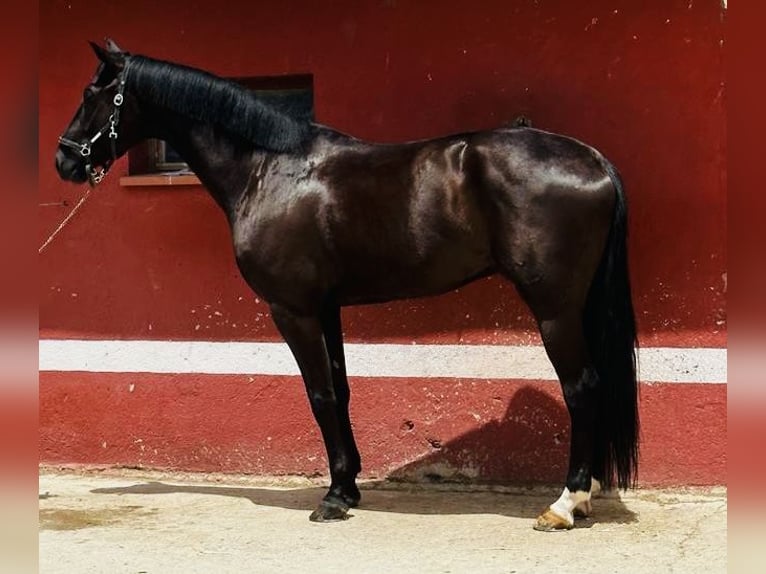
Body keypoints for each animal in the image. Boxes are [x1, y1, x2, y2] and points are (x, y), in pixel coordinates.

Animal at [55, 39, 640, 536]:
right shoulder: (327, 307)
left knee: (582, 386)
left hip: (555, 308)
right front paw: (349, 484)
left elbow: (319, 394)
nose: (65, 159)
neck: (269, 168)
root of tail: (592, 159)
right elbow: (341, 388)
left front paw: (333, 497)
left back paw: (565, 504)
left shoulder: (292, 309)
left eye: (92, 94)